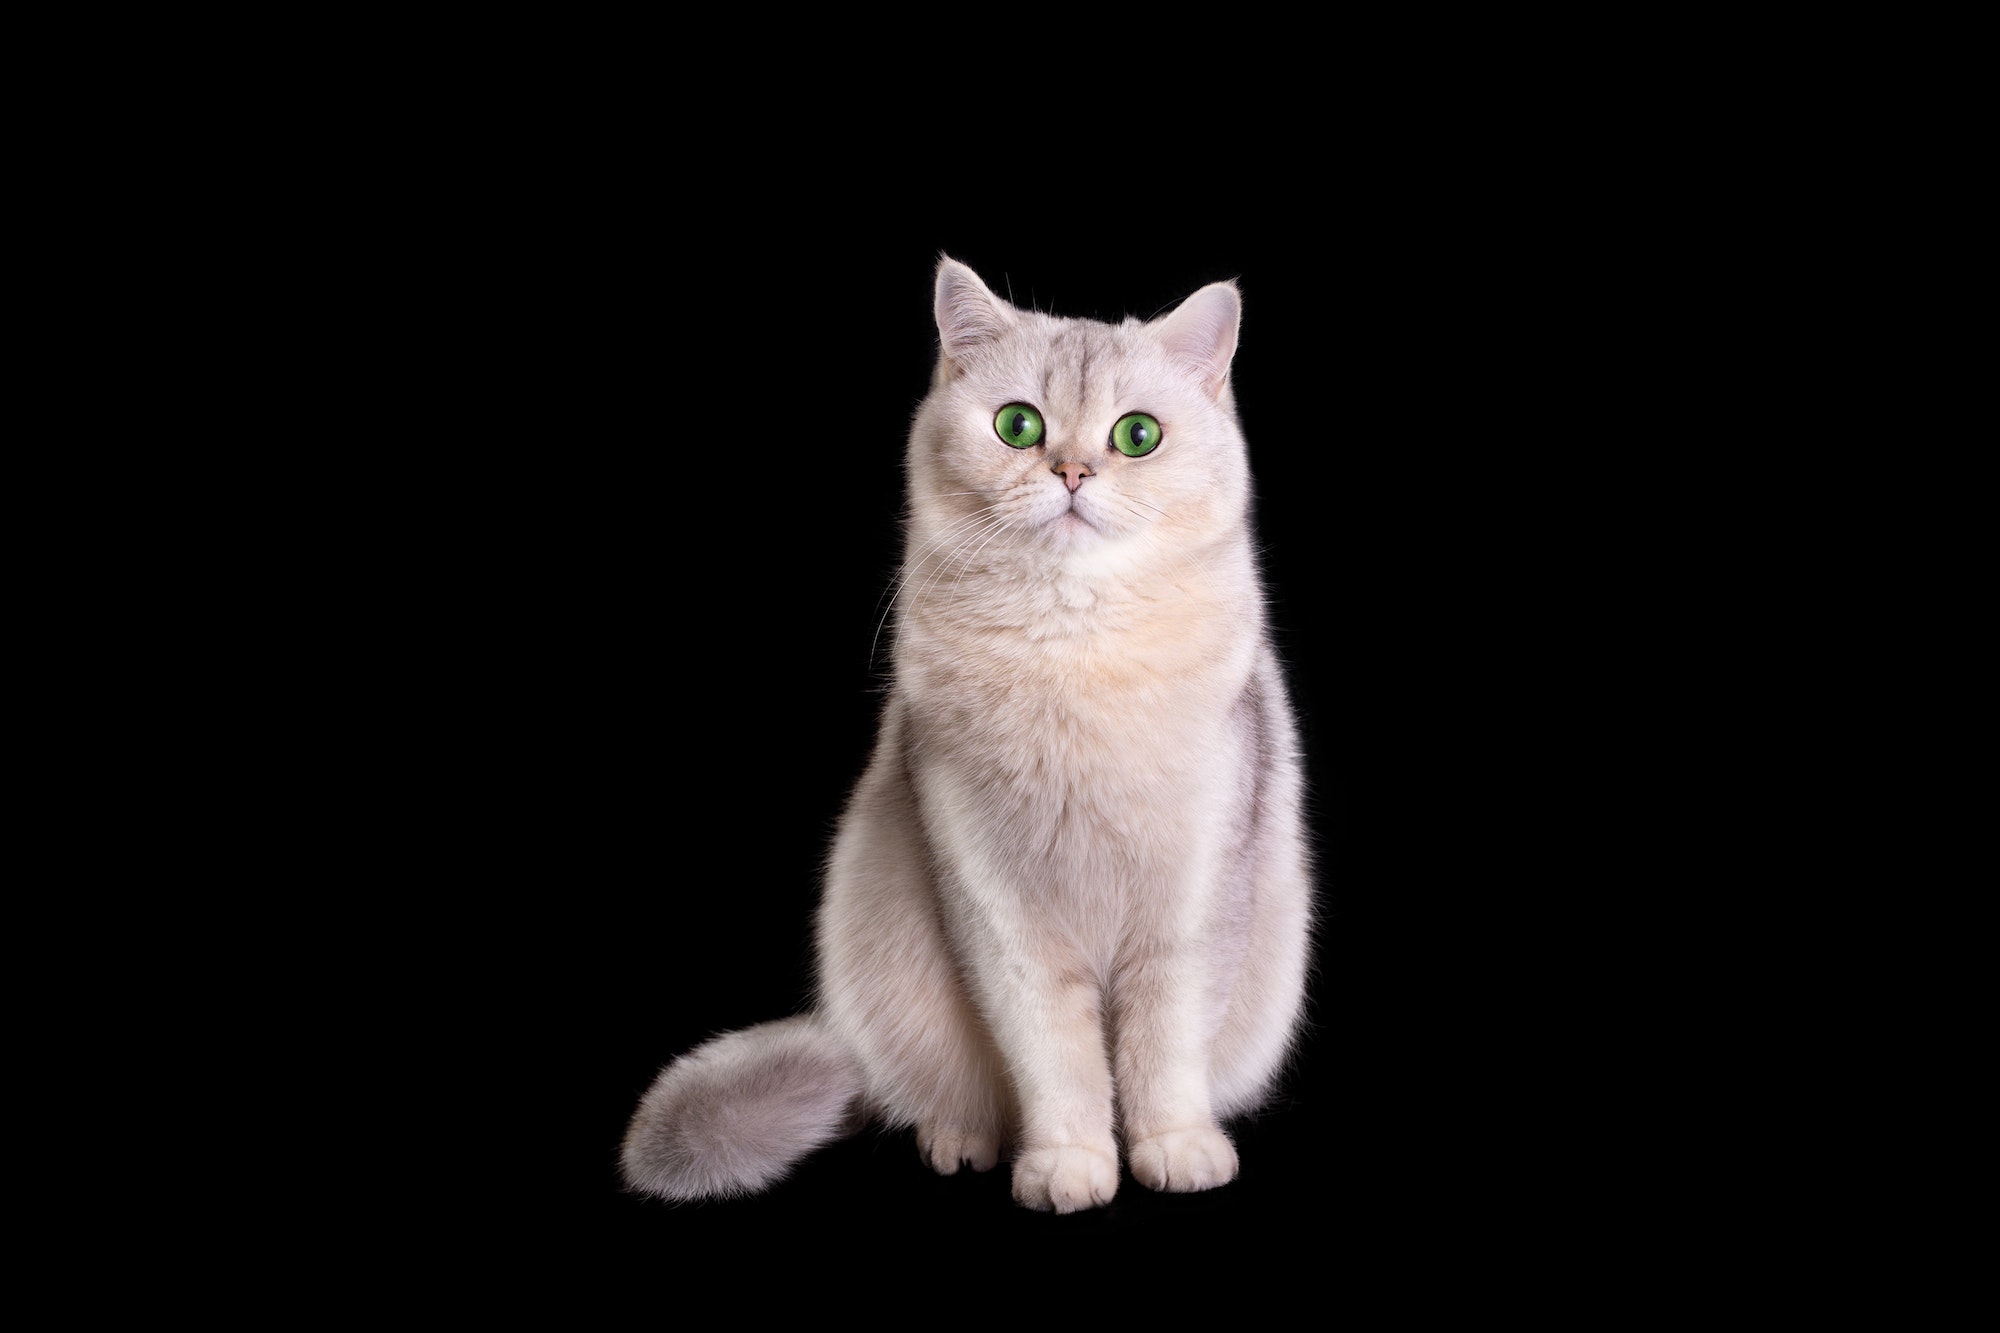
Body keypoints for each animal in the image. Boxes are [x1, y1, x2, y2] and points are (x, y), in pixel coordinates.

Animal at [620, 254, 1312, 1208]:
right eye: (1019, 426)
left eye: (1136, 436)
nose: (1071, 472)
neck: (1072, 657)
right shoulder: (993, 899)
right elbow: (1055, 1058)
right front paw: (1069, 1165)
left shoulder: (1198, 899)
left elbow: (1163, 1049)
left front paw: (1173, 1147)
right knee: (951, 1099)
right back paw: (962, 1140)